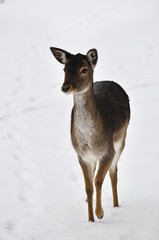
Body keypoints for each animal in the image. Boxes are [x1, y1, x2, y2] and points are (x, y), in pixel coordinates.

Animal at [49, 47, 130, 221]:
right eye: (64, 69)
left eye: (84, 69)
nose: (65, 87)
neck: (91, 140)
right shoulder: (82, 155)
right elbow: (88, 186)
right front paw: (91, 219)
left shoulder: (108, 151)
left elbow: (98, 181)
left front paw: (100, 213)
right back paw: (88, 201)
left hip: (121, 140)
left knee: (113, 173)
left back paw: (116, 205)